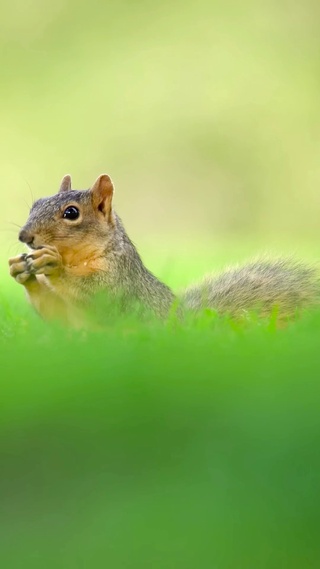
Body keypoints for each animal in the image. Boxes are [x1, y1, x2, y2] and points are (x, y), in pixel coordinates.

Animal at [7, 172, 320, 328]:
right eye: (36, 203)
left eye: (71, 213)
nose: (24, 236)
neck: (78, 257)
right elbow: (55, 311)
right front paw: (22, 271)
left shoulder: (120, 281)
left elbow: (97, 294)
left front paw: (55, 265)